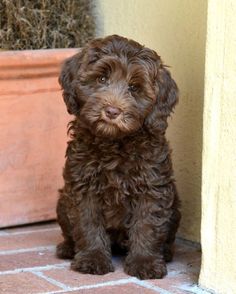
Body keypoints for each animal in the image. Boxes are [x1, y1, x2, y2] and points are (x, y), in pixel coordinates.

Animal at [56, 35, 182, 280]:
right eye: (102, 78)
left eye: (134, 88)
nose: (112, 111)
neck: (114, 143)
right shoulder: (83, 187)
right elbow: (87, 223)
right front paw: (92, 258)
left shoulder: (151, 188)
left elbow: (147, 224)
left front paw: (145, 262)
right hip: (62, 201)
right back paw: (67, 248)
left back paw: (166, 252)